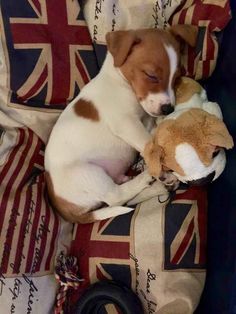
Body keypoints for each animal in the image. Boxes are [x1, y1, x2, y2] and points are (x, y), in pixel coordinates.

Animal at [43, 25, 197, 223]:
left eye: (176, 77)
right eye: (151, 75)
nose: (168, 109)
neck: (119, 83)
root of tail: (63, 209)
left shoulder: (145, 119)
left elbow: (152, 132)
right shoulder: (126, 123)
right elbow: (149, 144)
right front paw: (159, 164)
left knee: (123, 199)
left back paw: (157, 186)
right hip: (90, 174)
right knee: (116, 196)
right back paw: (147, 177)